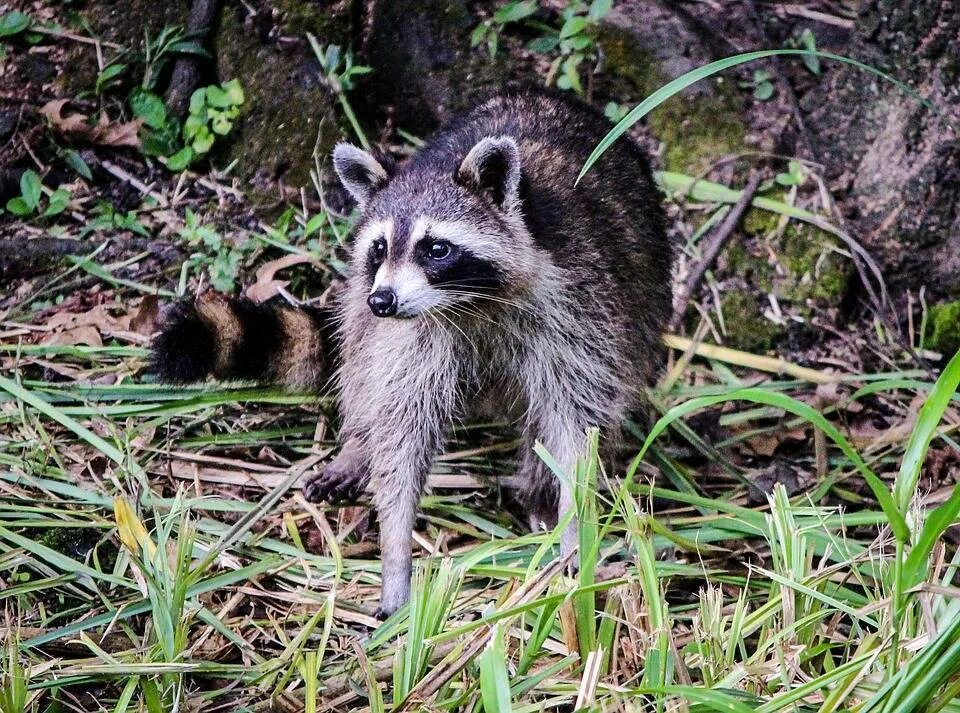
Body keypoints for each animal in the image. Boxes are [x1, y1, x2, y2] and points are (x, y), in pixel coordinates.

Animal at [152, 90, 676, 616]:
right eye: (380, 247)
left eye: (436, 248)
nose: (383, 300)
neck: (468, 304)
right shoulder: (413, 336)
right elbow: (401, 425)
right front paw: (395, 550)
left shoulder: (577, 308)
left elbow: (576, 425)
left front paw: (573, 528)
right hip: (364, 307)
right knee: (361, 358)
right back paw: (358, 443)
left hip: (644, 299)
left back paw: (538, 489)